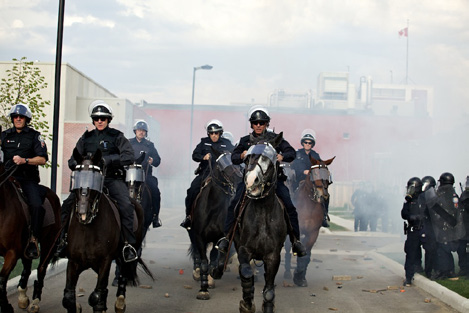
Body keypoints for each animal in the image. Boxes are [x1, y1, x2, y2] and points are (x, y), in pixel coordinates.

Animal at [0, 161, 61, 312]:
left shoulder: (12, 252)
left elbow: (2, 279)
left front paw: (6, 306)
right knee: (27, 268)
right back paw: (22, 296)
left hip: (48, 243)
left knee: (41, 269)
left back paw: (35, 301)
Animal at [62, 149, 152, 312]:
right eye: (76, 178)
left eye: (95, 179)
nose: (83, 213)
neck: (88, 230)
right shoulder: (73, 261)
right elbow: (68, 298)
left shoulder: (105, 261)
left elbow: (97, 295)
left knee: (123, 274)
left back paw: (120, 302)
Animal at [187, 149, 241, 300]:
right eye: (222, 165)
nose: (240, 179)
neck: (212, 207)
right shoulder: (199, 237)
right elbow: (204, 262)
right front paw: (203, 289)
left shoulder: (219, 238)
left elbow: (215, 260)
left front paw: (214, 275)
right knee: (196, 252)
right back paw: (196, 272)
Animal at [227, 132, 286, 312]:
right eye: (248, 158)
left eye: (270, 160)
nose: (251, 180)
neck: (263, 214)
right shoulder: (244, 249)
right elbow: (246, 272)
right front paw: (246, 304)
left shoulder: (273, 256)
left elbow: (269, 289)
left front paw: (268, 305)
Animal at [288, 155, 334, 286]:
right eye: (315, 173)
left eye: (327, 174)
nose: (324, 195)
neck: (309, 206)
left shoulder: (313, 233)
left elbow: (307, 253)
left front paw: (300, 276)